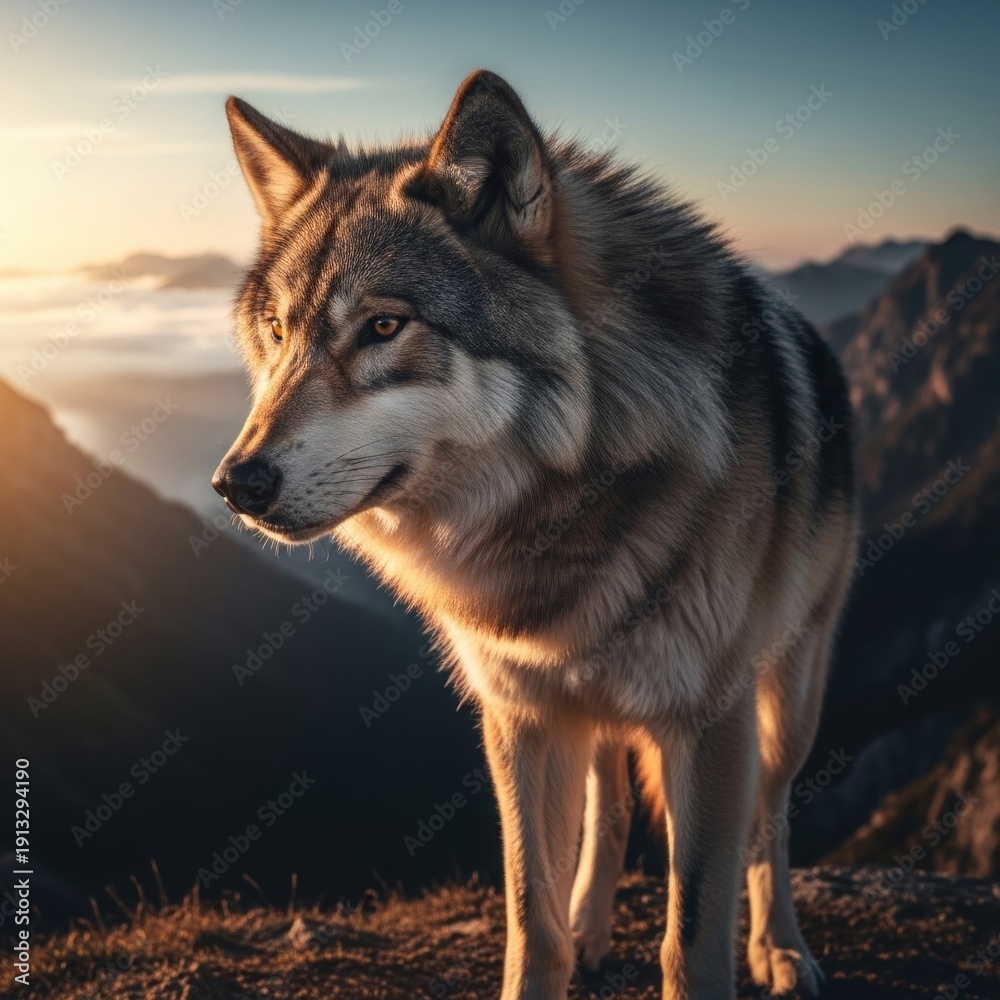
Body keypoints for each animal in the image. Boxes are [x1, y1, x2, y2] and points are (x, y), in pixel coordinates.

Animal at [213, 70, 856, 999]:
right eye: (278, 330)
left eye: (383, 326)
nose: (236, 484)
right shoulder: (519, 714)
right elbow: (531, 914)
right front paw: (561, 943)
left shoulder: (708, 722)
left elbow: (695, 932)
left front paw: (723, 951)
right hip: (595, 711)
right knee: (610, 805)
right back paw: (593, 928)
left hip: (789, 696)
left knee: (770, 822)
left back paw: (781, 951)